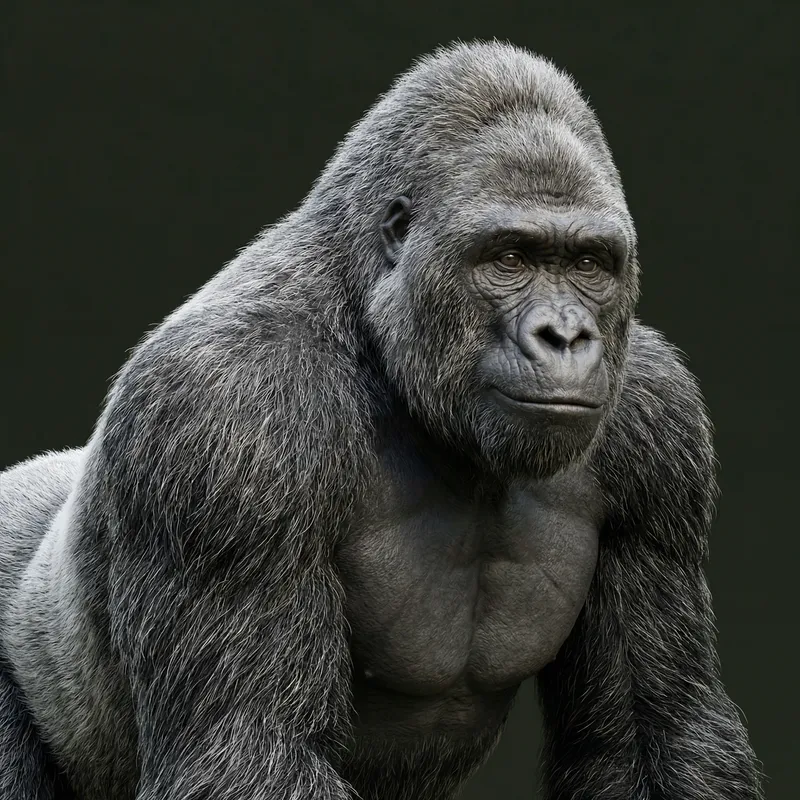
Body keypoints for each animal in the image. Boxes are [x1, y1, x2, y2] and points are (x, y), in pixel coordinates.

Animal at [0, 40, 762, 800]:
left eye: (590, 265)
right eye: (510, 257)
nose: (566, 336)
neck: (372, 326)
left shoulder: (657, 419)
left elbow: (656, 739)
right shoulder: (228, 417)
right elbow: (249, 747)